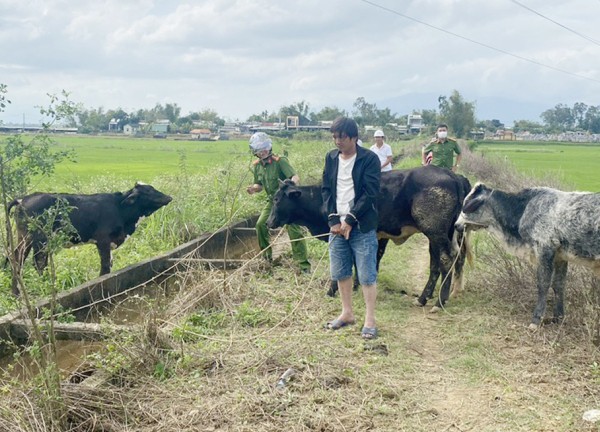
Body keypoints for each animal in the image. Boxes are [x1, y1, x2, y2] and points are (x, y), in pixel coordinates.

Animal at [7, 181, 171, 288]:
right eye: (148, 191)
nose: (169, 197)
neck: (120, 210)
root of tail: (24, 198)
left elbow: (110, 264)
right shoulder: (103, 241)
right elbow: (105, 266)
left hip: (25, 239)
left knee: (17, 258)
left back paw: (17, 292)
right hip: (40, 241)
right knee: (39, 263)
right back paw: (45, 286)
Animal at [268, 164, 474, 308]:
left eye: (277, 199)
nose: (269, 222)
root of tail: (452, 175)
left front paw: (333, 290)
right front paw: (357, 286)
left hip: (435, 232)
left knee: (447, 259)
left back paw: (440, 301)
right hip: (439, 236)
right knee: (436, 264)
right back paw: (424, 298)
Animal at [454, 181, 600, 328]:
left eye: (468, 204)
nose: (456, 225)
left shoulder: (544, 247)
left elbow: (543, 284)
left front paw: (536, 320)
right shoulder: (560, 256)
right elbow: (558, 284)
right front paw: (558, 318)